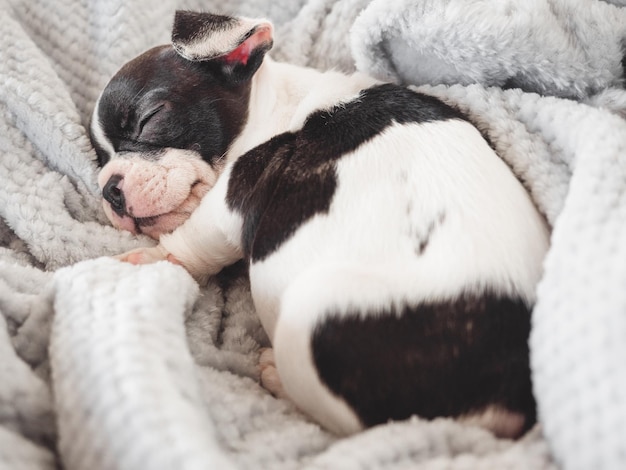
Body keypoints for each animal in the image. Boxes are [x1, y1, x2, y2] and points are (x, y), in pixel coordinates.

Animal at [90, 10, 548, 436]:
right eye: (99, 159)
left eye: (149, 119)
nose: (108, 189)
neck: (280, 106)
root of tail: (502, 401)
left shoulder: (233, 194)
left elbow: (195, 241)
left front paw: (148, 261)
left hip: (310, 308)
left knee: (351, 422)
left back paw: (275, 374)